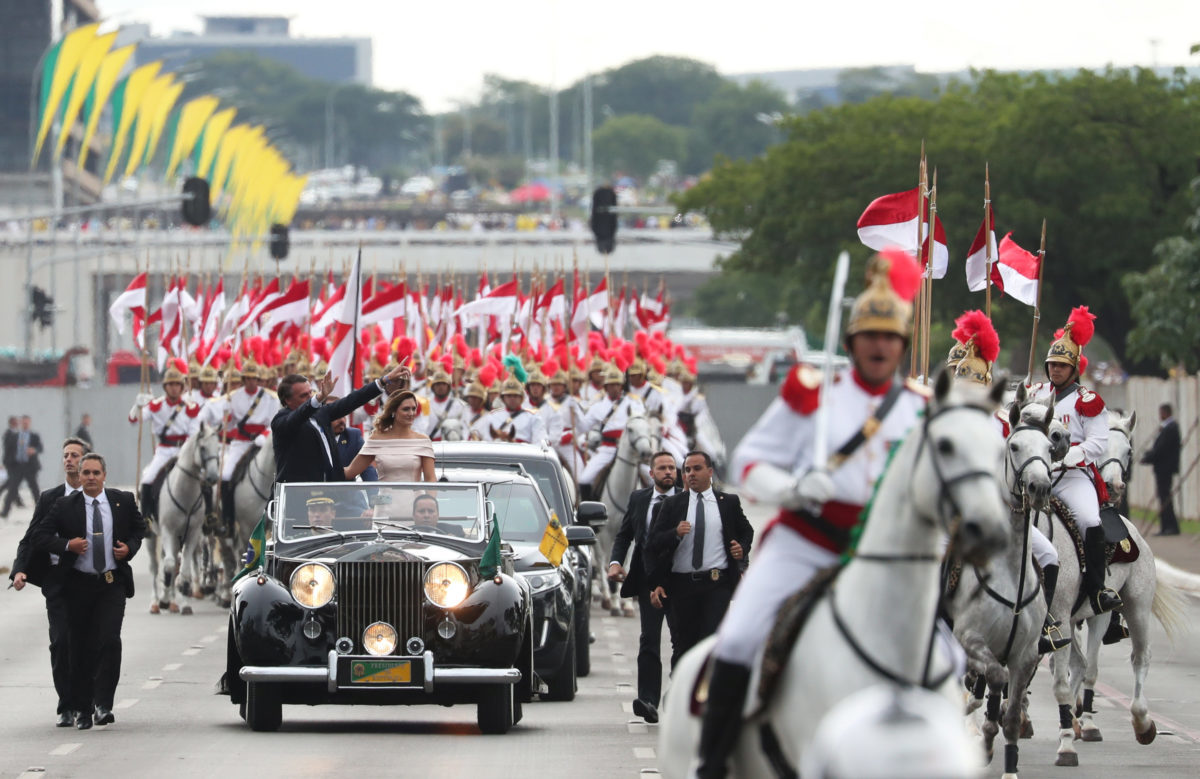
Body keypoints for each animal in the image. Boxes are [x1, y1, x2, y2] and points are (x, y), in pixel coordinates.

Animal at [150, 424, 223, 614]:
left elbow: (184, 568)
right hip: (152, 537)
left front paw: (183, 590)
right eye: (203, 448)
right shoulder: (168, 531)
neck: (184, 494)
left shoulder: (192, 533)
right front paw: (165, 598)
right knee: (156, 567)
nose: (212, 477)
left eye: (218, 448)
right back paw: (157, 602)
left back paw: (179, 602)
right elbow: (169, 565)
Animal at [595, 410, 662, 614]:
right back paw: (605, 595)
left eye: (649, 428)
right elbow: (611, 563)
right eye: (630, 429)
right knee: (599, 560)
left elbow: (626, 562)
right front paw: (616, 602)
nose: (647, 453)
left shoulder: (633, 535)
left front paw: (627, 603)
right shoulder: (608, 534)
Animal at [950, 398, 1056, 772]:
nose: (1039, 488)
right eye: (1014, 446)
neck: (1011, 572)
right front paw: (983, 737)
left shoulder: (1025, 655)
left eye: (1050, 447)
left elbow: (1009, 717)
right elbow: (994, 677)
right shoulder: (970, 639)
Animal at [1027, 408, 1185, 763]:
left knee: (1132, 659)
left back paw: (1135, 722)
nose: (1114, 487)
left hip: (1132, 607)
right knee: (1079, 664)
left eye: (1129, 450)